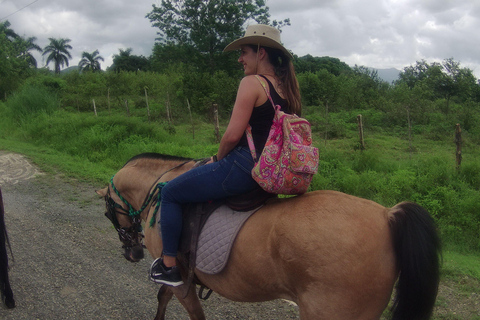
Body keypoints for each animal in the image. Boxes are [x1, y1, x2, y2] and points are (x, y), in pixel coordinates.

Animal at [96, 153, 442, 320]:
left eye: (107, 212)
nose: (133, 252)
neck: (161, 187)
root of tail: (387, 214)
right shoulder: (179, 279)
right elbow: (161, 299)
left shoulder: (179, 279)